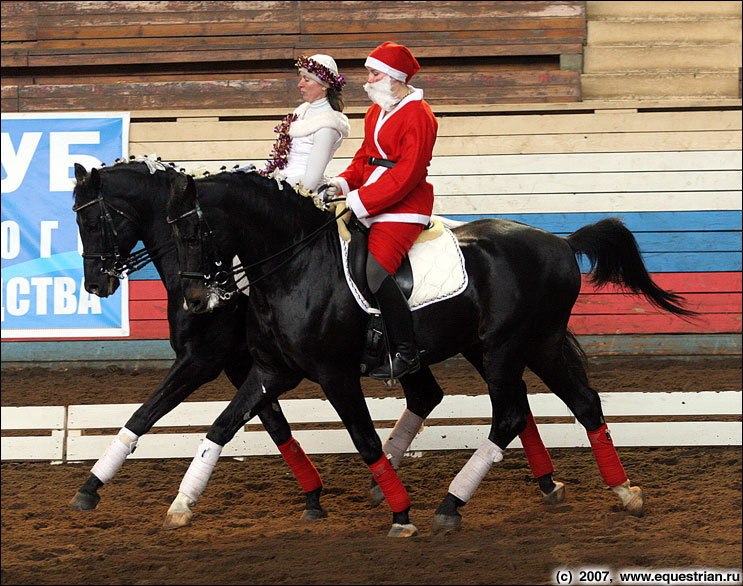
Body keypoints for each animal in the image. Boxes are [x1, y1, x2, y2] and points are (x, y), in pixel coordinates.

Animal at [67, 159, 328, 516]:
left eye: (91, 223)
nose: (94, 284)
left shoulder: (201, 360)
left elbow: (142, 415)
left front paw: (90, 487)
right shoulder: (242, 365)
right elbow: (276, 426)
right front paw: (313, 496)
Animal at [166, 169, 696, 532]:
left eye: (196, 233)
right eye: (174, 234)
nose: (194, 300)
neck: (295, 267)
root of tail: (562, 243)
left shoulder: (336, 374)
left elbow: (365, 440)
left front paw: (402, 514)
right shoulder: (272, 371)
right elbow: (221, 426)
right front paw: (181, 505)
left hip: (506, 346)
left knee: (509, 415)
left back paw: (451, 504)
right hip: (530, 345)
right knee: (580, 403)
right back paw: (624, 492)